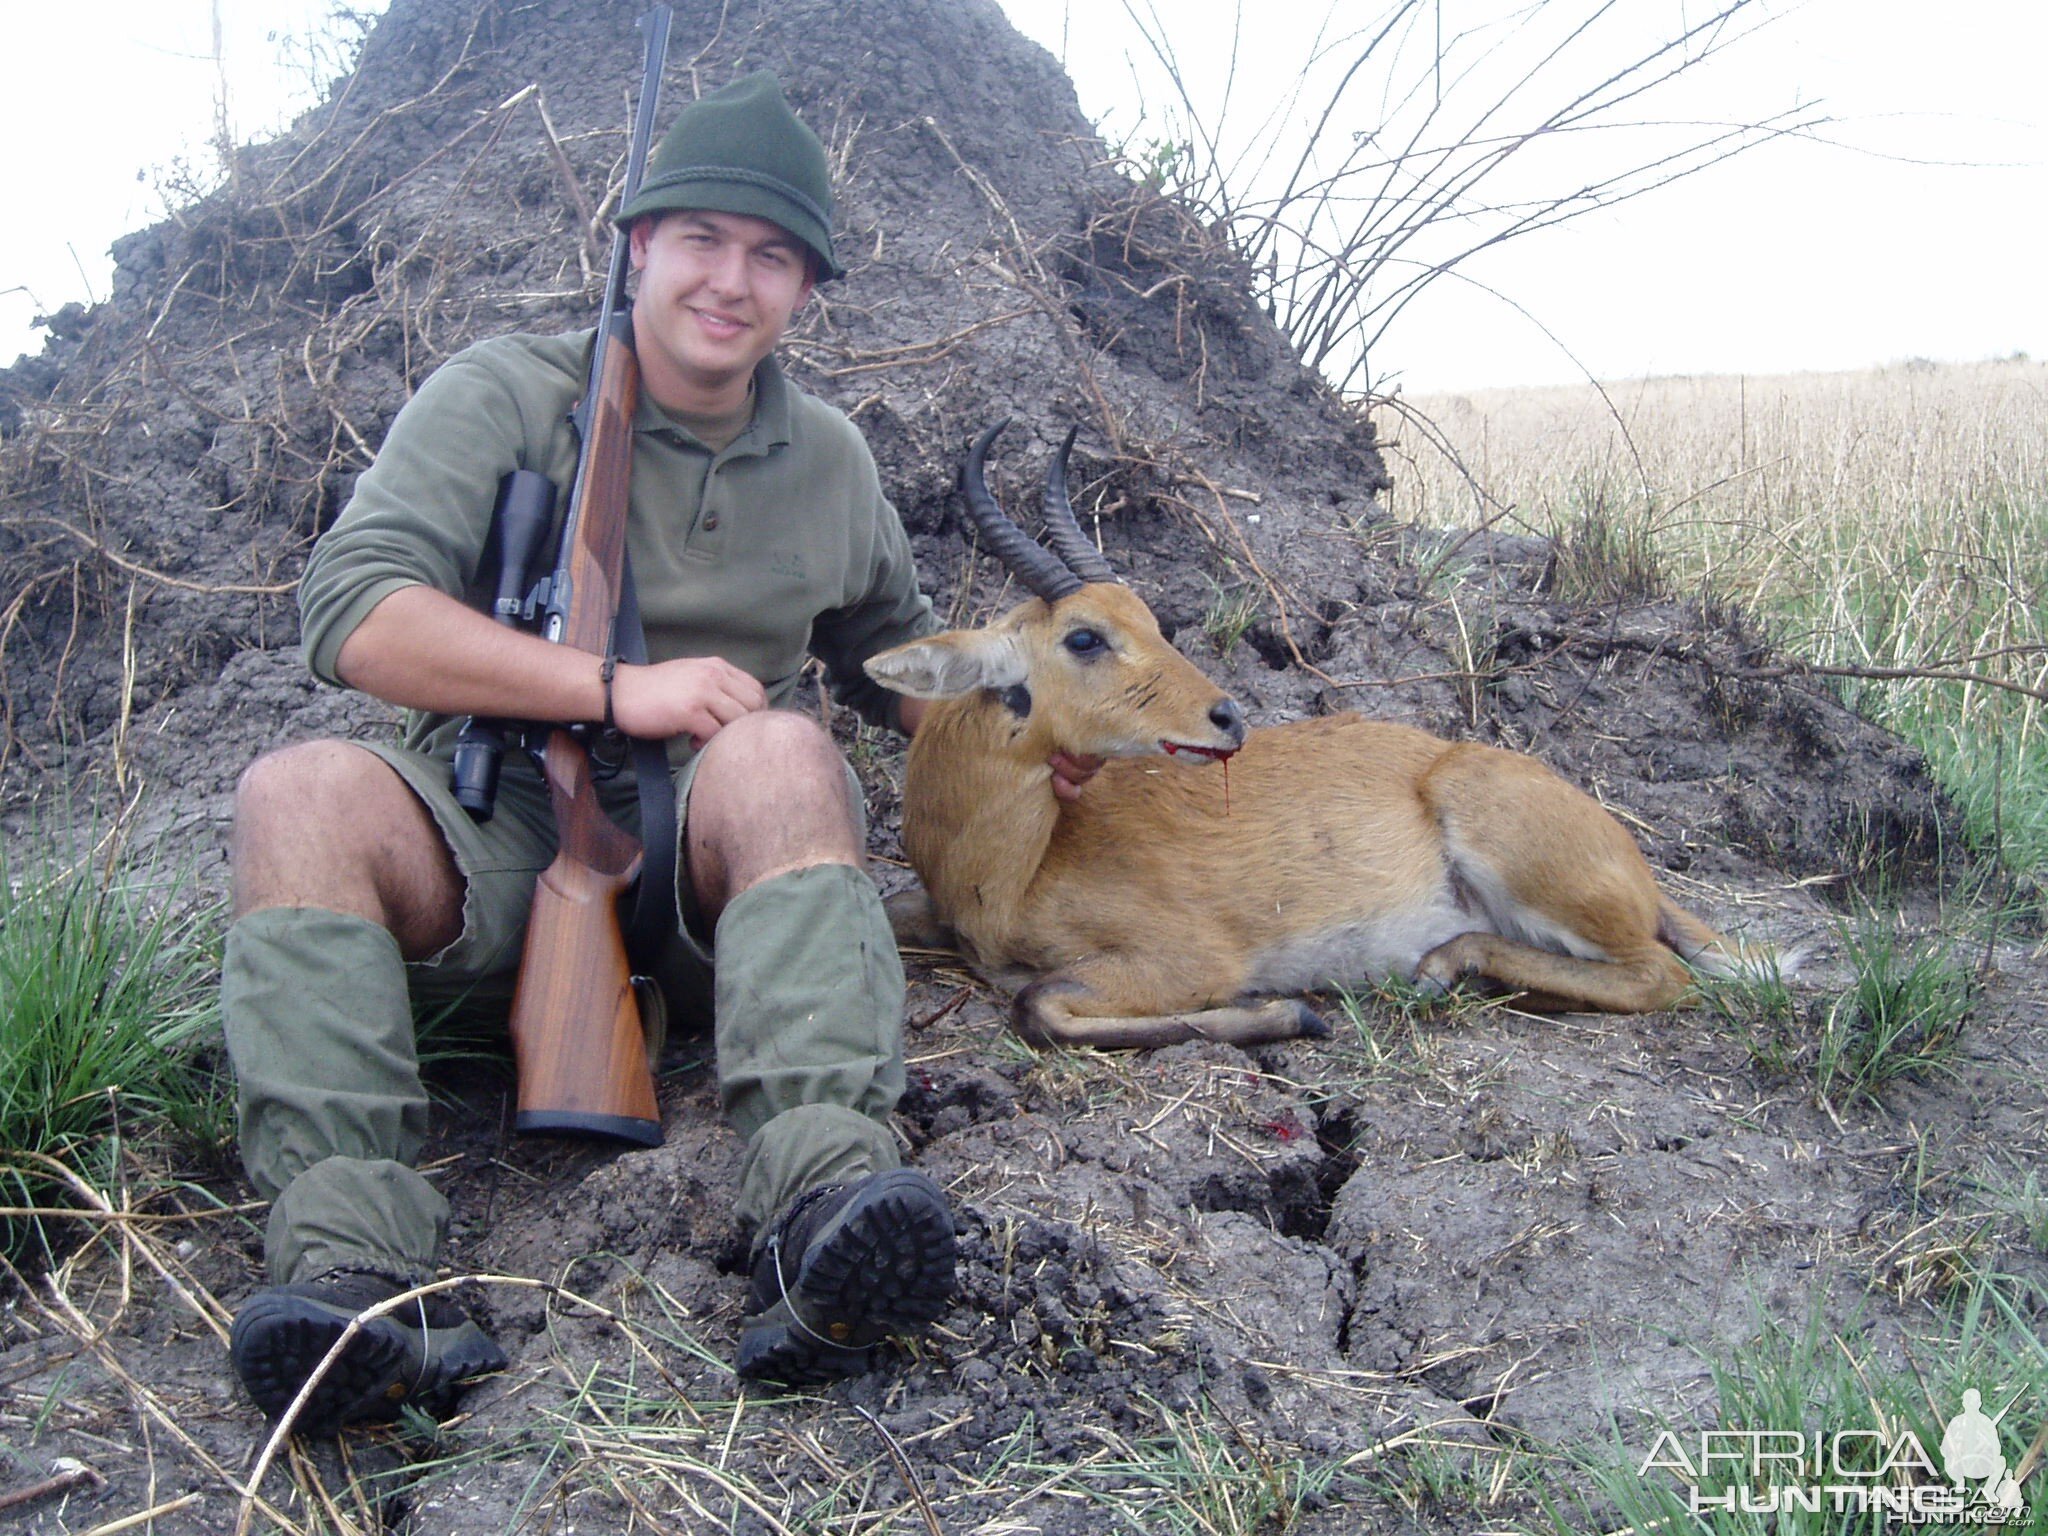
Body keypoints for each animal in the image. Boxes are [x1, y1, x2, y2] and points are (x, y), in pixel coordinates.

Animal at [864, 423, 1761, 1056]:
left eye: (1147, 618)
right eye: (1085, 637)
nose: (1228, 717)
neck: (1011, 870)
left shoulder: (1186, 960)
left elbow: (1037, 1004)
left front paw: (1289, 1011)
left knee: (1664, 974)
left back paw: (1443, 966)